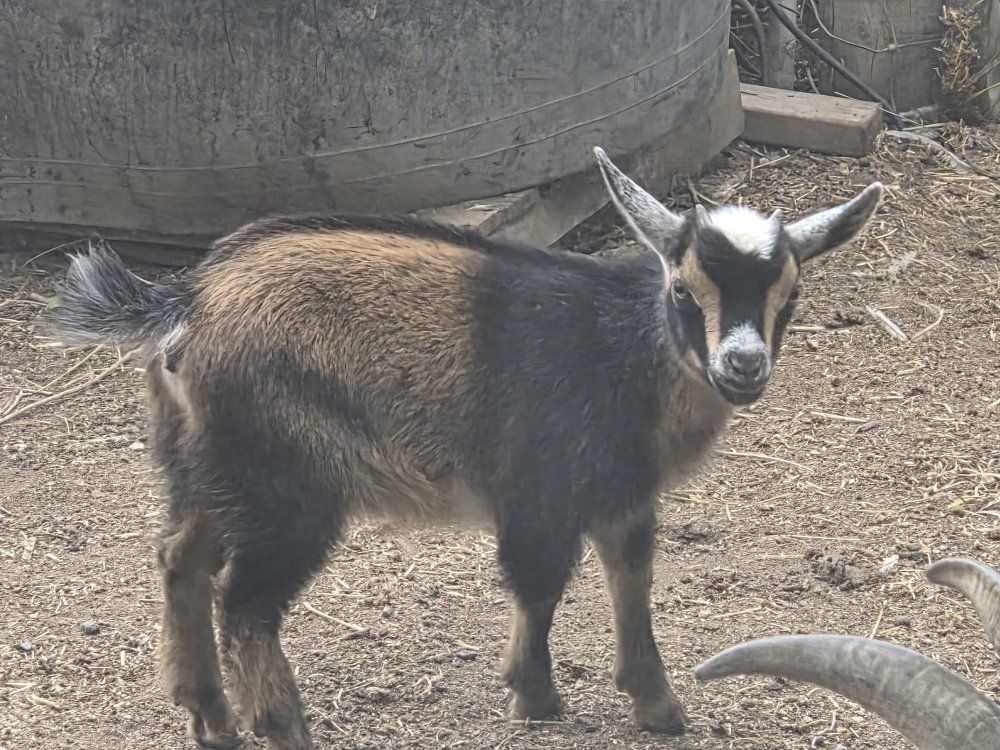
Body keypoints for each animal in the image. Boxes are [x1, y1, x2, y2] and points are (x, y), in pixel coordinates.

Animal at [49, 147, 883, 750]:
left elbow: (632, 573)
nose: (742, 367)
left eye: (791, 297)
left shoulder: (620, 488)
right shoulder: (542, 483)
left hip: (204, 461)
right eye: (684, 289)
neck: (625, 350)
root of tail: (185, 303)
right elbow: (540, 582)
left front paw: (656, 703)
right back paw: (281, 725)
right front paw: (536, 695)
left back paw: (208, 716)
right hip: (286, 480)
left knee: (179, 559)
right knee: (246, 601)